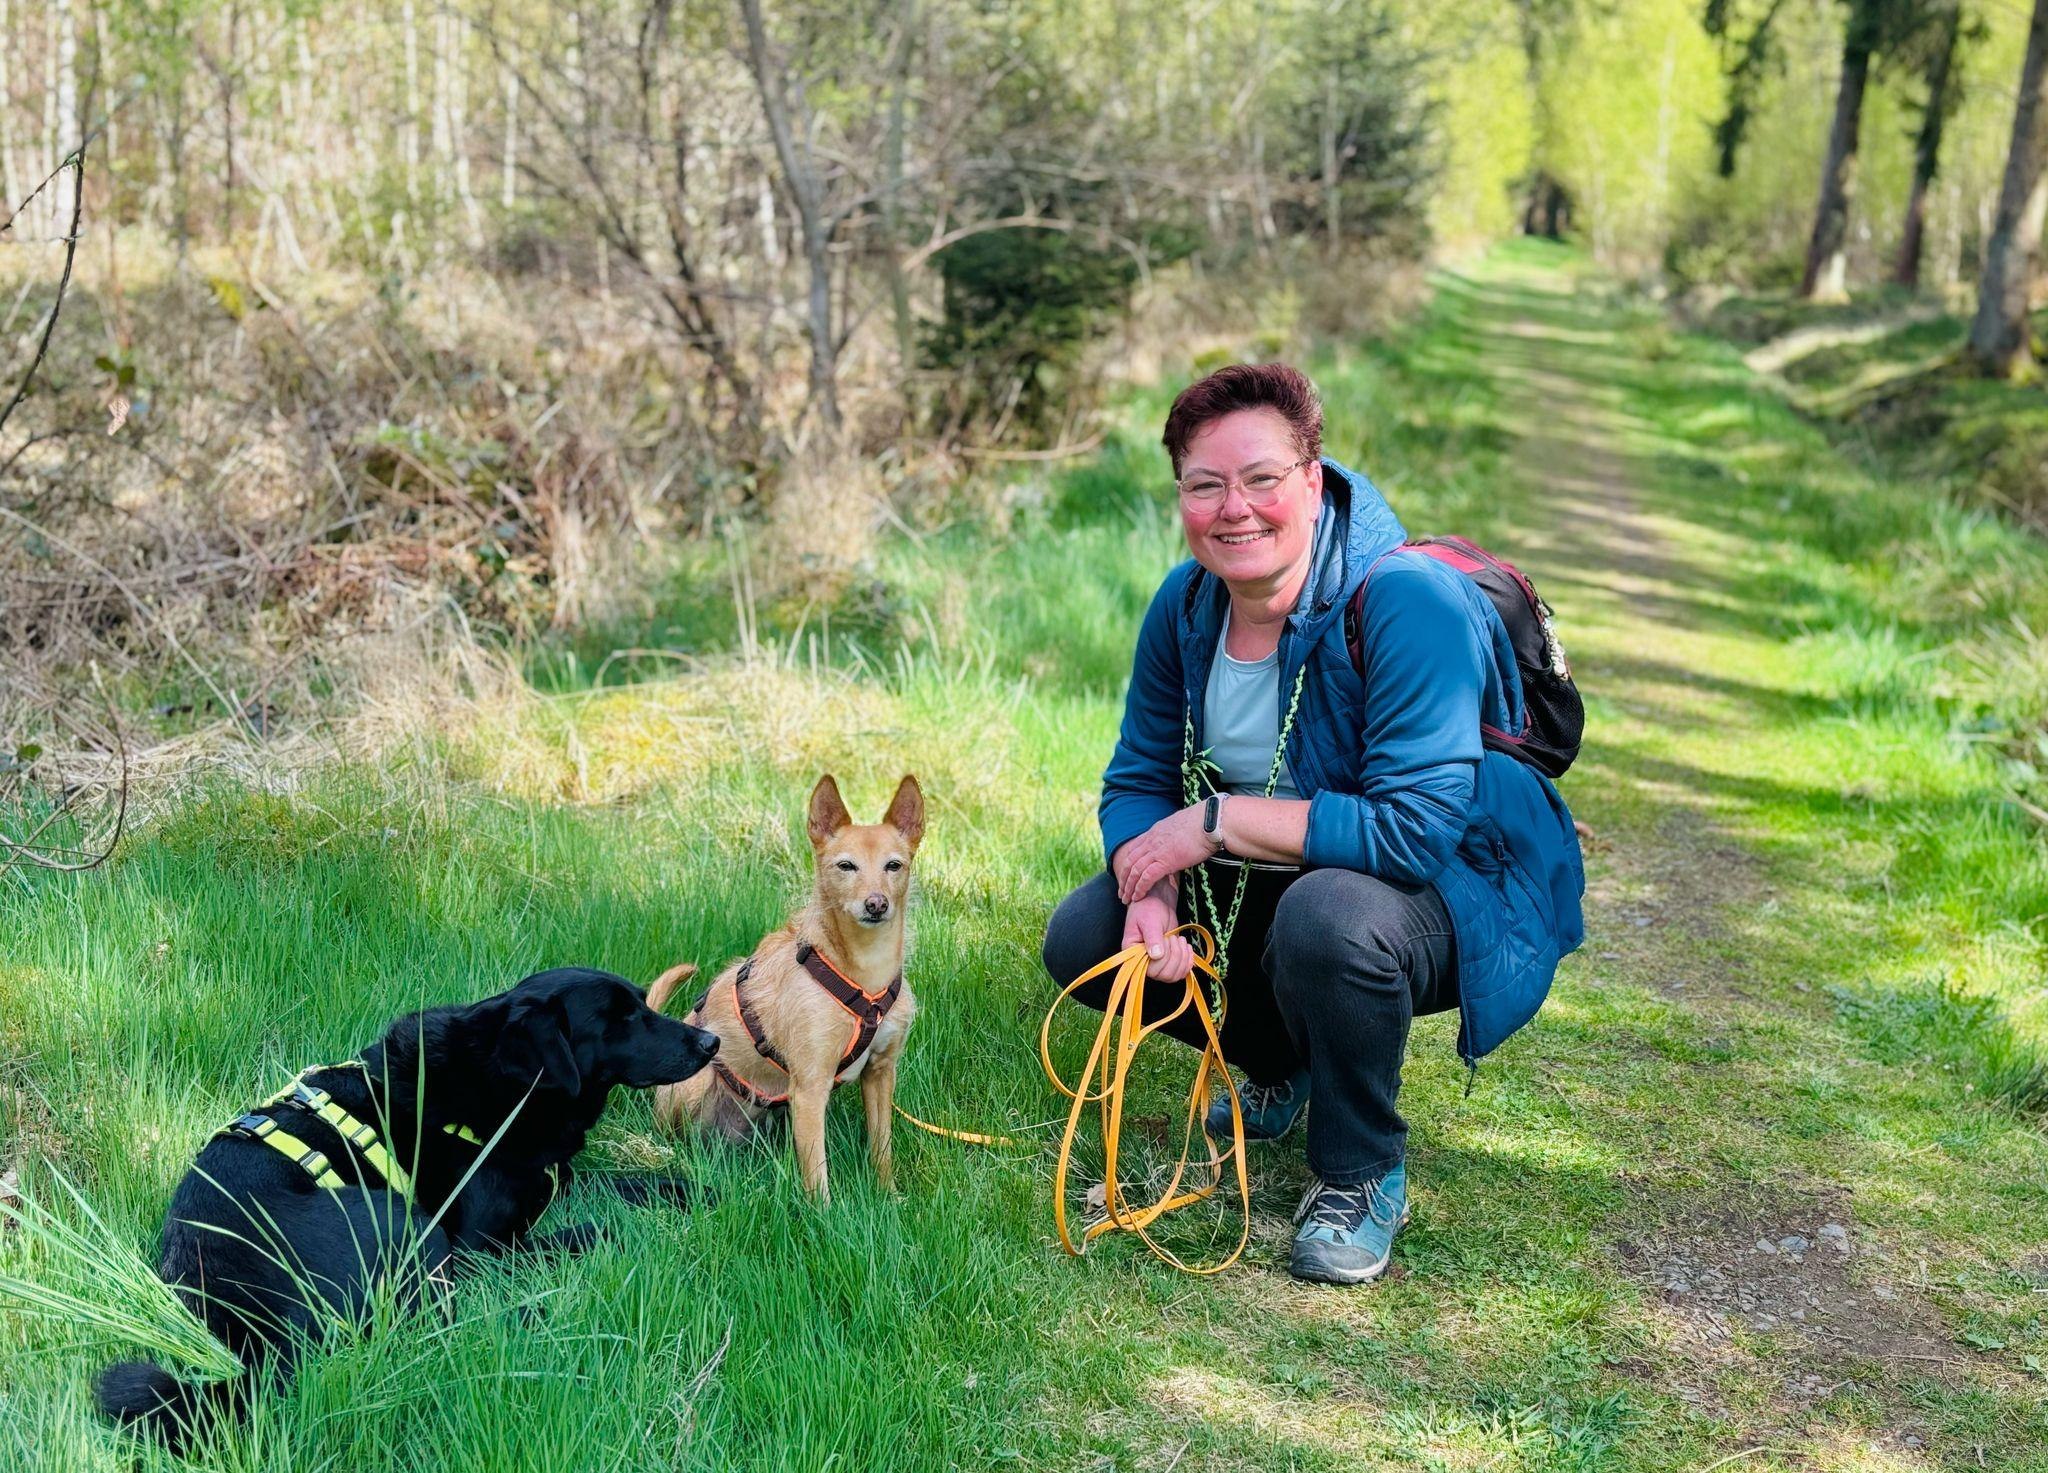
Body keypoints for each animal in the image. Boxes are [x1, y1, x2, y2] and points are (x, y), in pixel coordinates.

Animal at [95, 966, 719, 1451]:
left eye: (643, 1003)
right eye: (620, 1020)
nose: (710, 1043)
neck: (500, 1086)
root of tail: (258, 1337)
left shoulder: (550, 1175)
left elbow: (625, 1182)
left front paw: (695, 1191)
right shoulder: (480, 1245)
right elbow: (583, 1229)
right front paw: (614, 1234)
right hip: (402, 1221)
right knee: (438, 1325)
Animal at [648, 774, 922, 1202]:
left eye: (894, 865)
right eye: (846, 866)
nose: (876, 904)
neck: (864, 973)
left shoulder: (880, 1074)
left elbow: (882, 1147)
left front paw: (888, 1196)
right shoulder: (810, 1087)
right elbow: (817, 1172)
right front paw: (826, 1214)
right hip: (695, 1086)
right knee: (677, 1137)